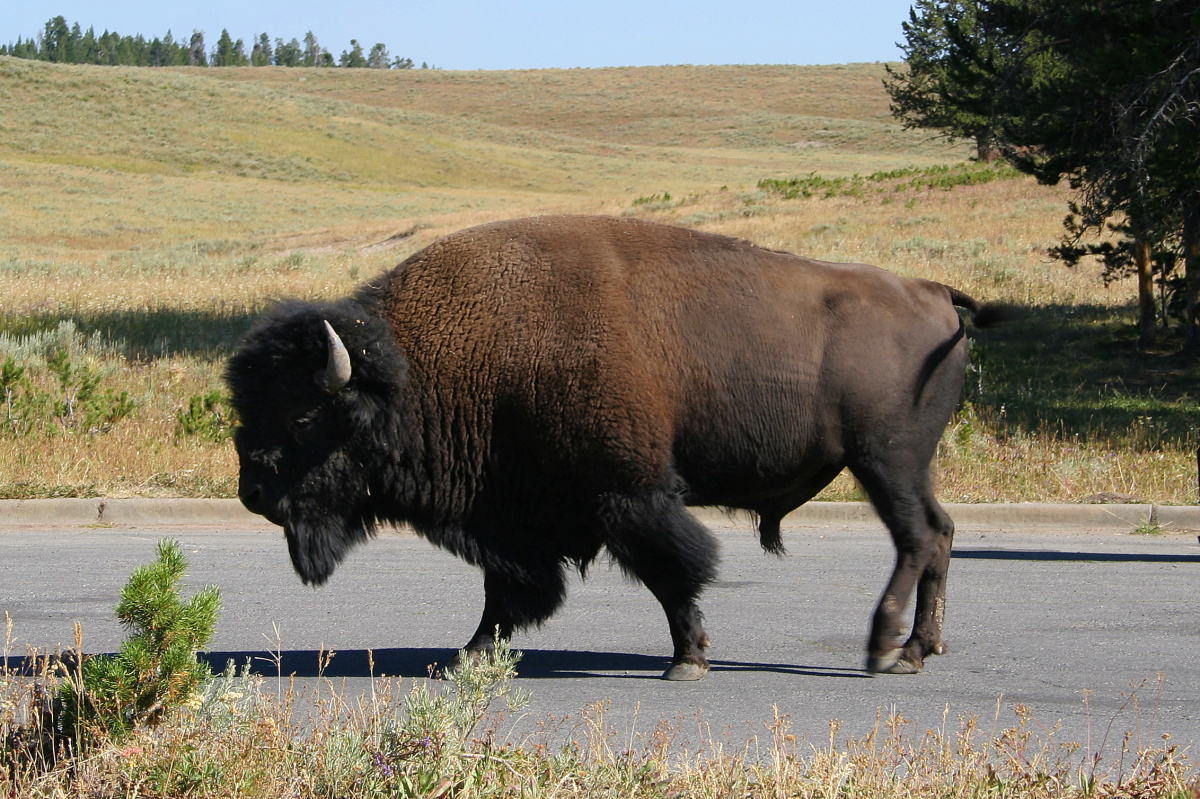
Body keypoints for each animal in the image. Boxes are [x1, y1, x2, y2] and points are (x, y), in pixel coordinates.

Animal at [225, 213, 1003, 676]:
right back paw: (921, 647)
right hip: (906, 466)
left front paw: (686, 659)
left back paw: (884, 648)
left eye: (303, 417)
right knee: (939, 533)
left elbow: (672, 572)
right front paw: (467, 656)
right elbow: (505, 592)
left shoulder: (628, 495)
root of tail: (934, 292)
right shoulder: (510, 516)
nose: (252, 491)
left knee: (915, 538)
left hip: (884, 462)